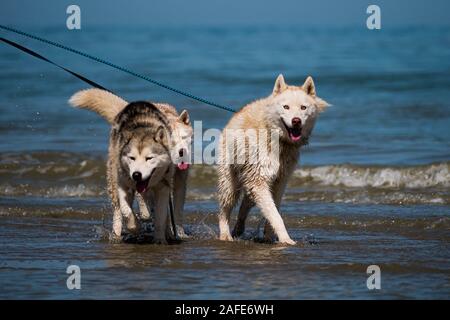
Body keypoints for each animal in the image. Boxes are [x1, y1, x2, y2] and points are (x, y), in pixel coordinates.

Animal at [69, 89, 192, 239]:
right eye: (171, 141)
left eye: (184, 138)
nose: (182, 152)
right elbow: (144, 204)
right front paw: (146, 215)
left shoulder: (178, 182)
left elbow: (177, 210)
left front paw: (179, 232)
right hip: (114, 181)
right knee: (118, 210)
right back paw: (117, 233)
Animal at [216, 74, 328, 245]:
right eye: (286, 107)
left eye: (303, 108)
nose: (296, 121)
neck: (277, 138)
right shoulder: (259, 180)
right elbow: (275, 215)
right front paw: (286, 239)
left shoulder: (279, 181)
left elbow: (273, 211)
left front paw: (270, 237)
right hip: (230, 182)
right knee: (225, 209)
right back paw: (225, 235)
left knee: (246, 203)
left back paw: (238, 229)